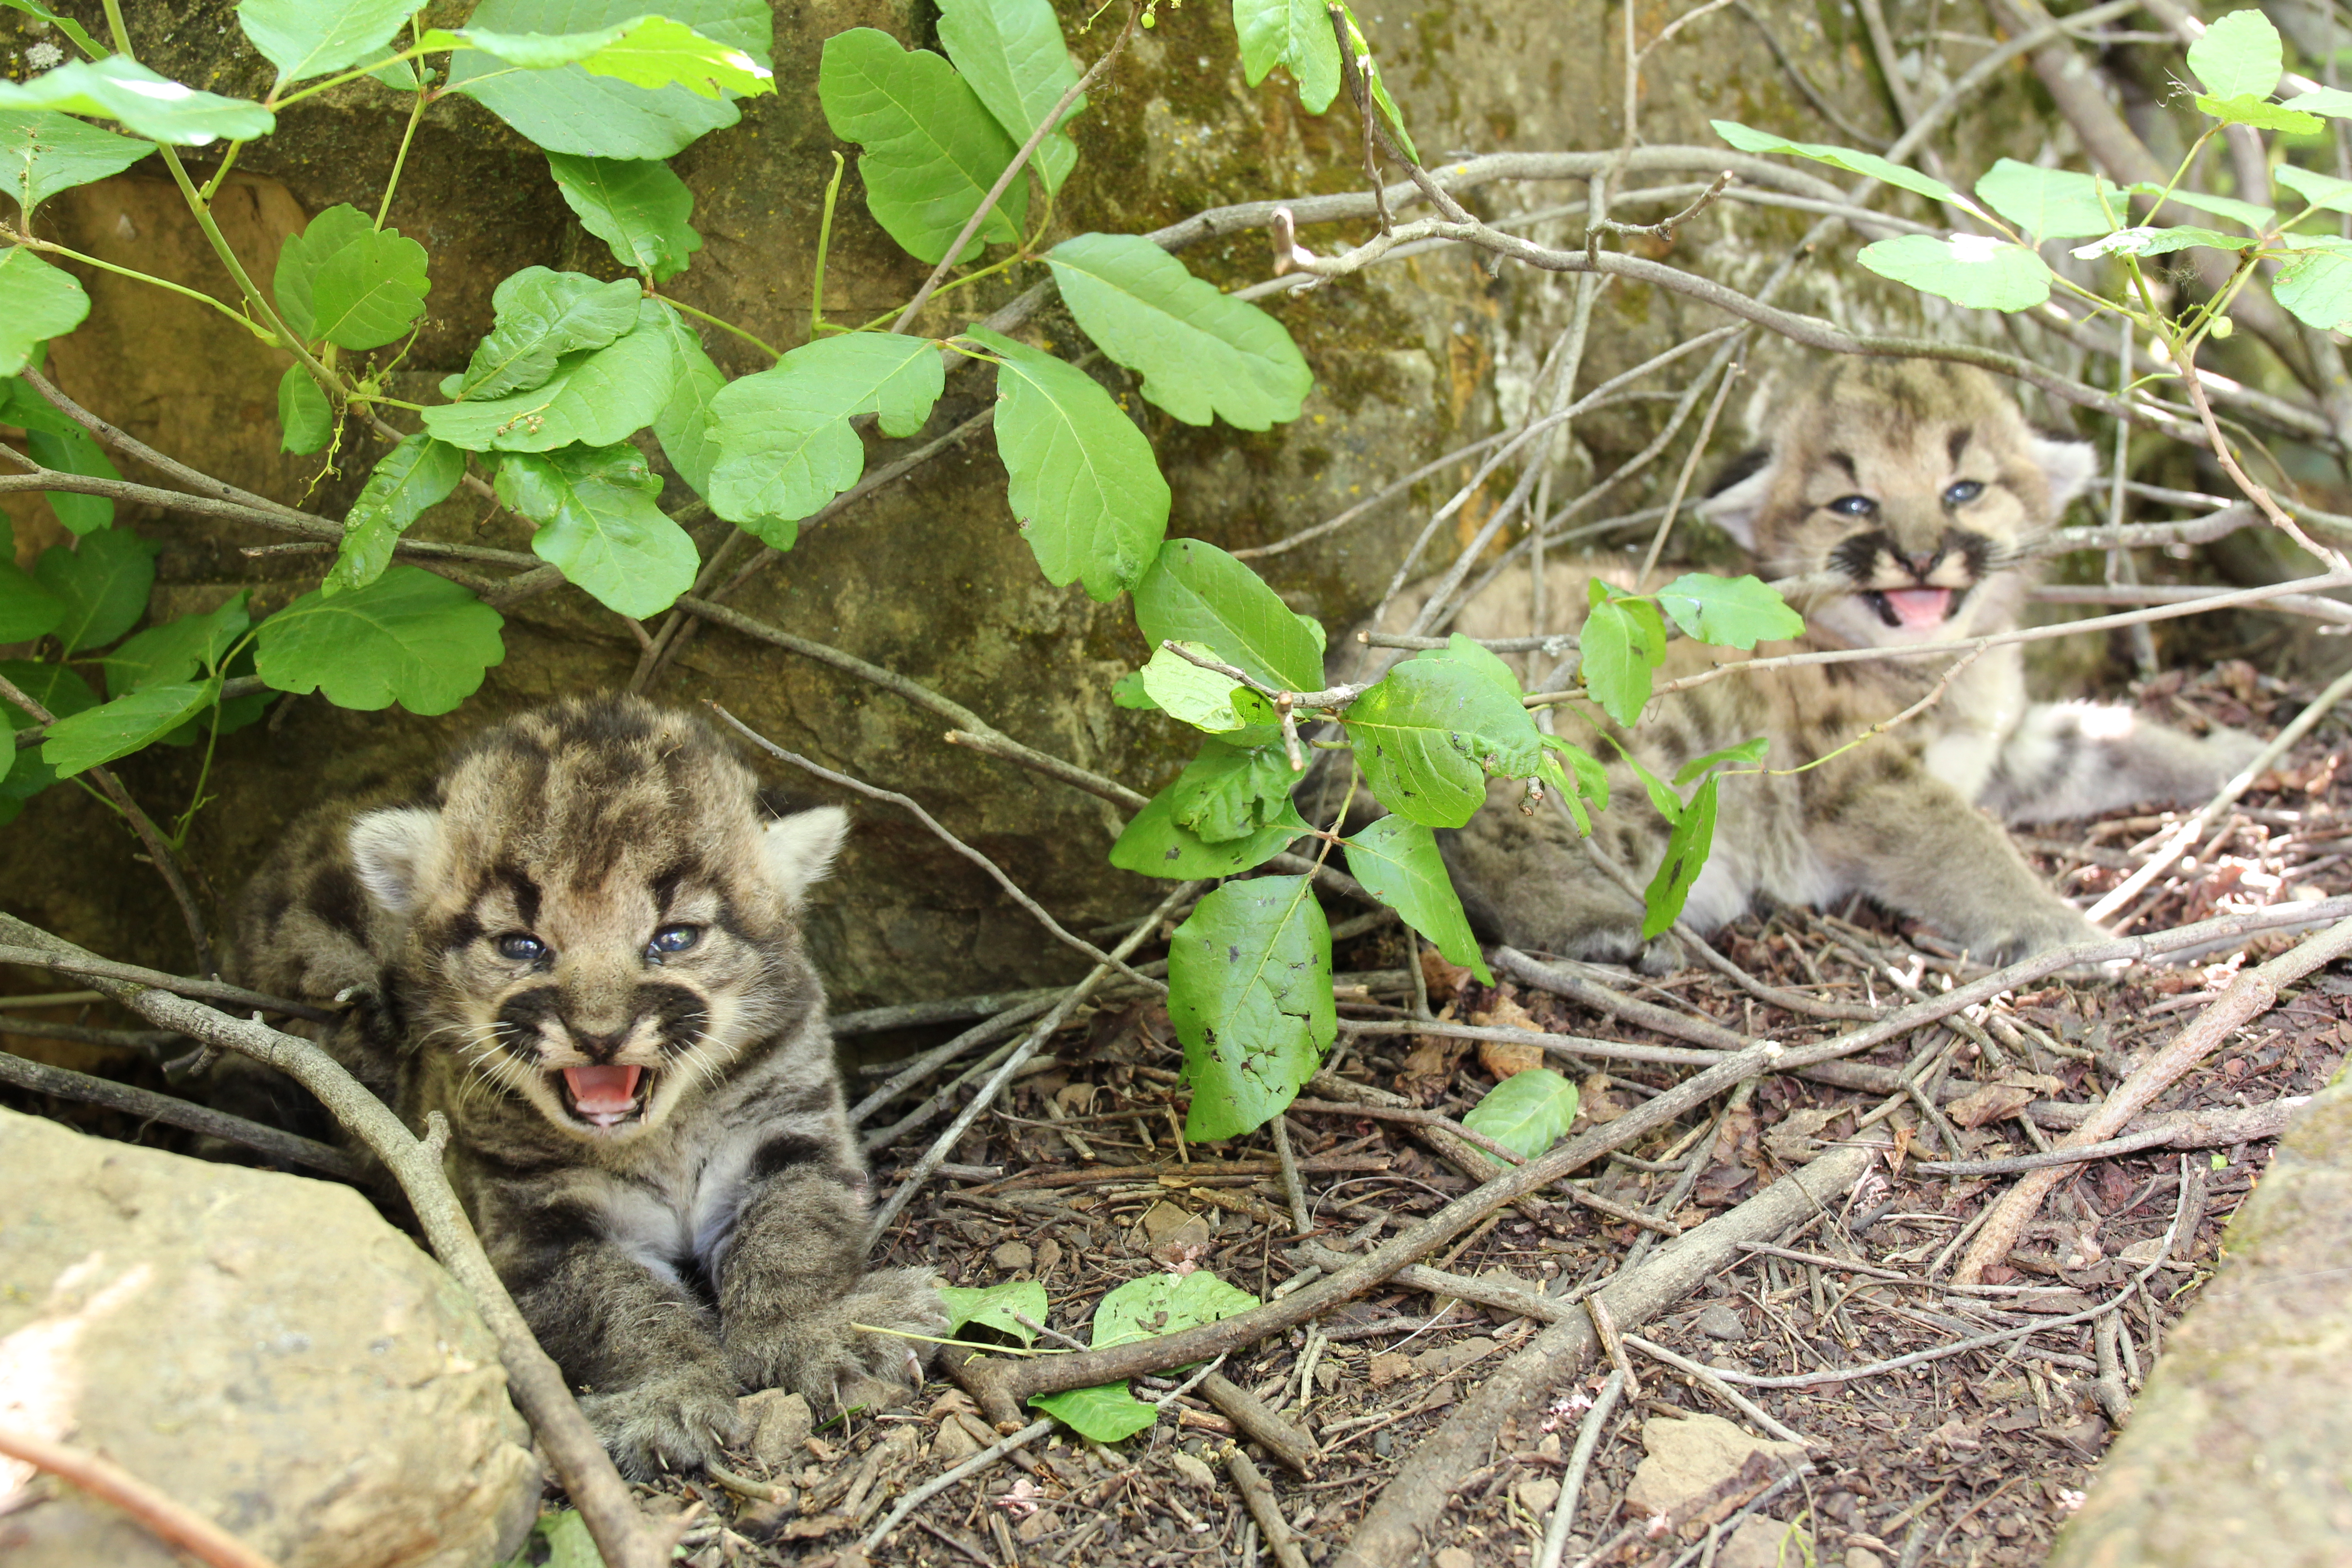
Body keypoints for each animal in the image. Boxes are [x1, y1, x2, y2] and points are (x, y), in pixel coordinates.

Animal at [236, 691, 936, 1476]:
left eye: (674, 937)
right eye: (521, 946)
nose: (600, 1033)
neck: (658, 1140)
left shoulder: (787, 1127)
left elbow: (795, 1231)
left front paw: (822, 1329)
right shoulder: (540, 1217)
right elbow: (615, 1305)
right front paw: (665, 1397)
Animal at [1373, 364, 2258, 973]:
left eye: (1963, 491)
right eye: (1853, 505)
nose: (1919, 557)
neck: (1937, 666)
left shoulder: (2003, 749)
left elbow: (2106, 735)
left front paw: (2228, 758)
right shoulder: (1862, 780)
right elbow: (1971, 847)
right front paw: (2070, 933)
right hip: (1613, 731)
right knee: (1481, 834)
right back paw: (1602, 922)